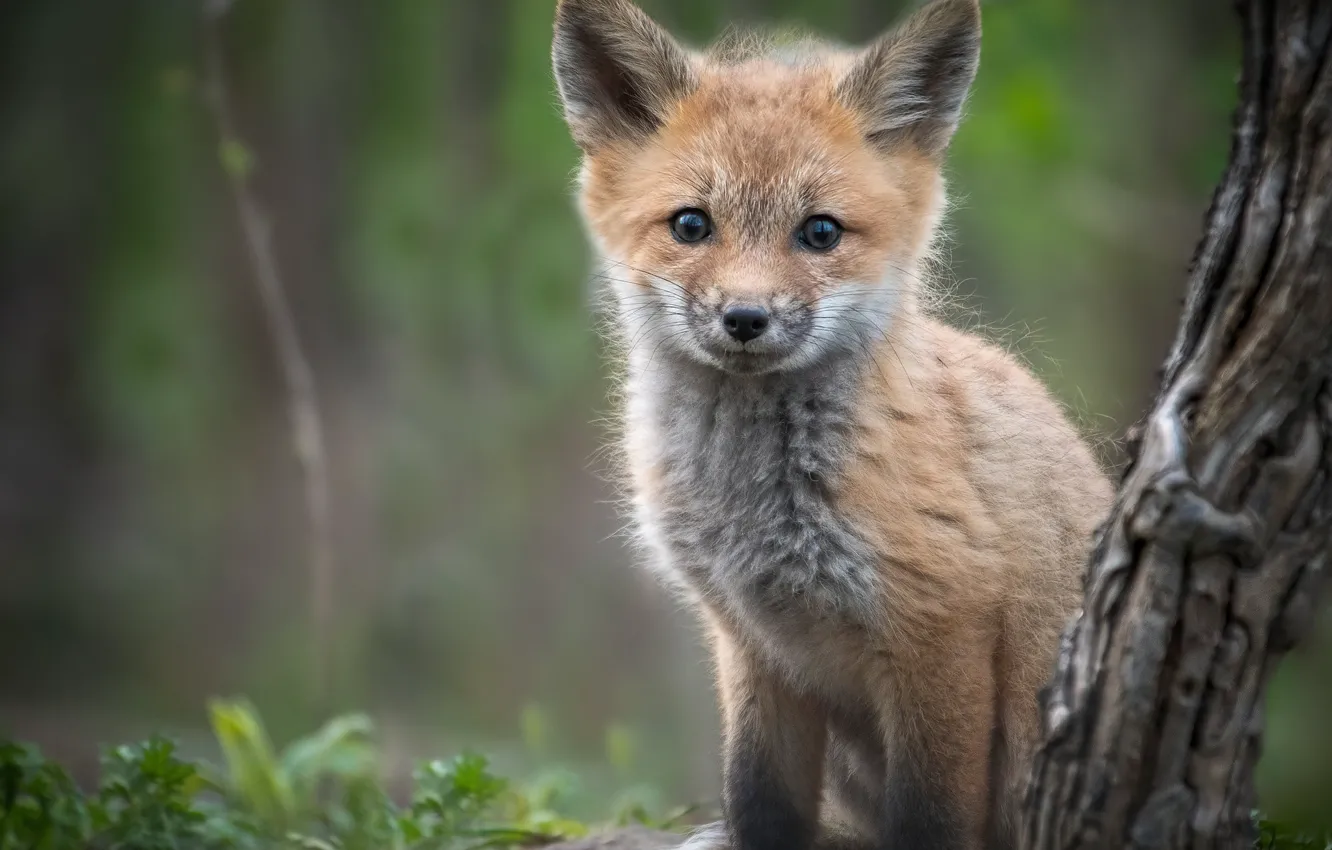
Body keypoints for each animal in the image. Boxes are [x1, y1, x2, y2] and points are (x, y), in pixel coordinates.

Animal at [550, 0, 1113, 848]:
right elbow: (758, 794)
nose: (745, 318)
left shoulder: (939, 631)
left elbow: (932, 818)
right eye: (691, 225)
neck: (752, 512)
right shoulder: (752, 641)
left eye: (819, 233)